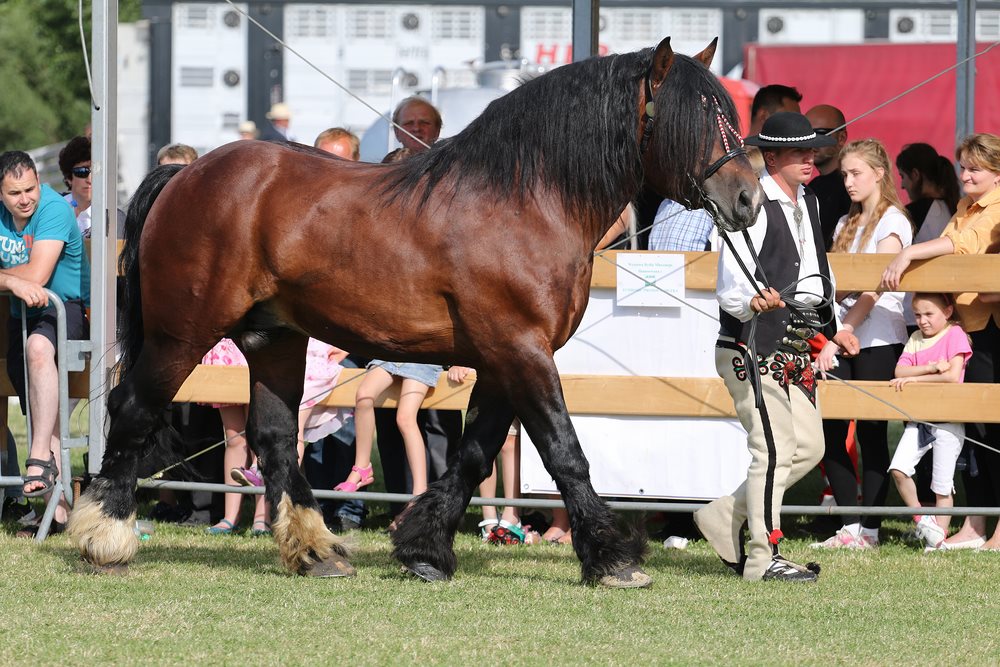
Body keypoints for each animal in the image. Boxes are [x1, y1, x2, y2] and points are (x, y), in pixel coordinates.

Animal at [68, 37, 756, 588]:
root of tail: (184, 177)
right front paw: (612, 559)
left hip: (274, 340)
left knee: (275, 439)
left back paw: (317, 551)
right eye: (697, 118)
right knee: (133, 410)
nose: (748, 199)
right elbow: (565, 451)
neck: (524, 201)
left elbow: (475, 454)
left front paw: (423, 547)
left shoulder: (504, 359)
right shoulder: (521, 350)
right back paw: (104, 536)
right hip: (181, 333)